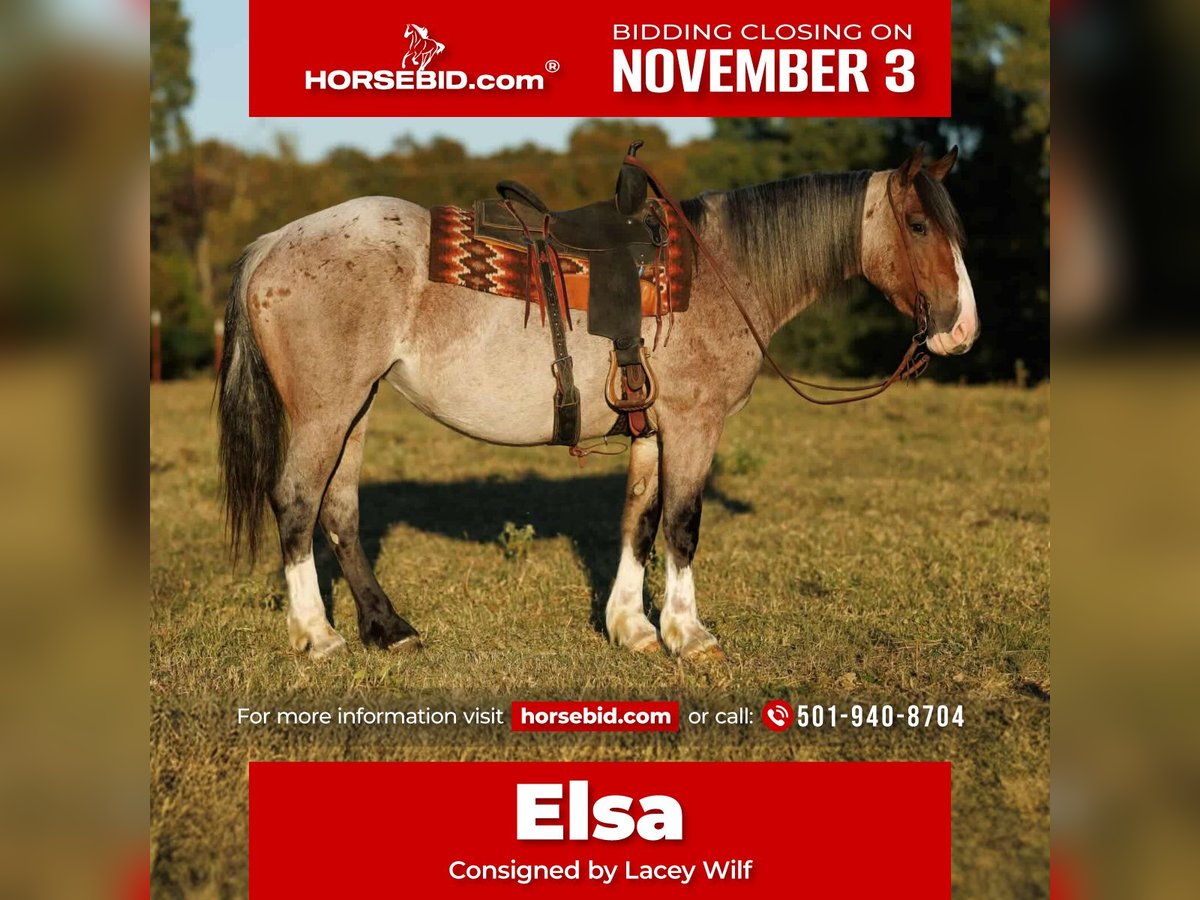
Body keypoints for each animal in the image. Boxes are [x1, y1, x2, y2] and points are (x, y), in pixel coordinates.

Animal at [217, 145, 978, 661]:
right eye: (917, 224)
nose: (962, 328)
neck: (722, 272)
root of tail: (273, 243)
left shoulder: (650, 429)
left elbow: (637, 522)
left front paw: (631, 626)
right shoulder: (693, 426)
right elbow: (682, 525)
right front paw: (688, 634)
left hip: (358, 406)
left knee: (339, 511)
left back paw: (388, 629)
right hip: (325, 410)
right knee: (295, 502)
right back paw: (317, 635)